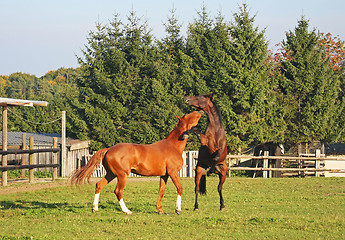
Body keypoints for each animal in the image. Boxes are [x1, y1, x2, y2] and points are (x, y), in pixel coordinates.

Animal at [71, 111, 203, 215]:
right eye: (187, 115)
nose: (199, 111)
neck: (173, 146)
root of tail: (109, 149)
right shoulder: (173, 172)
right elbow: (180, 188)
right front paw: (178, 209)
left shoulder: (164, 175)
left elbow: (161, 191)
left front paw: (160, 210)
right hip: (122, 175)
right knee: (118, 191)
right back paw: (127, 211)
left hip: (111, 174)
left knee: (99, 185)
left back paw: (95, 208)